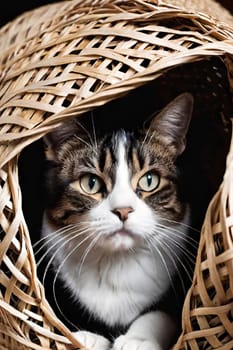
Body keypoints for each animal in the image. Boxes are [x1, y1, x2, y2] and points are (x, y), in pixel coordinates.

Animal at [39, 93, 197, 350]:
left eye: (150, 180)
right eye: (90, 183)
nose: (123, 210)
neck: (116, 261)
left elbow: (162, 312)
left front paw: (138, 339)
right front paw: (87, 336)